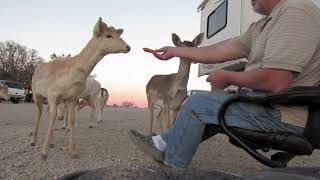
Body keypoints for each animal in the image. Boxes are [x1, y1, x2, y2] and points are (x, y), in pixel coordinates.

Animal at [30, 17, 130, 160]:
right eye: (108, 35)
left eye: (118, 34)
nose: (128, 47)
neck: (73, 73)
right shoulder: (53, 94)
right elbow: (53, 117)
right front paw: (43, 153)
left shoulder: (71, 98)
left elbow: (72, 120)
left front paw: (73, 152)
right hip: (36, 95)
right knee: (39, 113)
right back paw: (33, 141)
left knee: (48, 111)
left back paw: (53, 143)